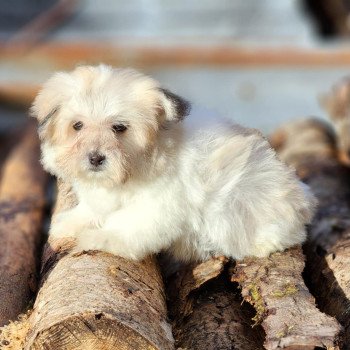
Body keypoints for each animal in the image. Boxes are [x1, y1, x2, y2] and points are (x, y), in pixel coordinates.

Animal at [31, 64, 316, 262]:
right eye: (77, 126)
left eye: (119, 128)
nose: (95, 158)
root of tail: (303, 203)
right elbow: (92, 209)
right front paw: (71, 223)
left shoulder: (158, 205)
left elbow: (128, 224)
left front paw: (101, 238)